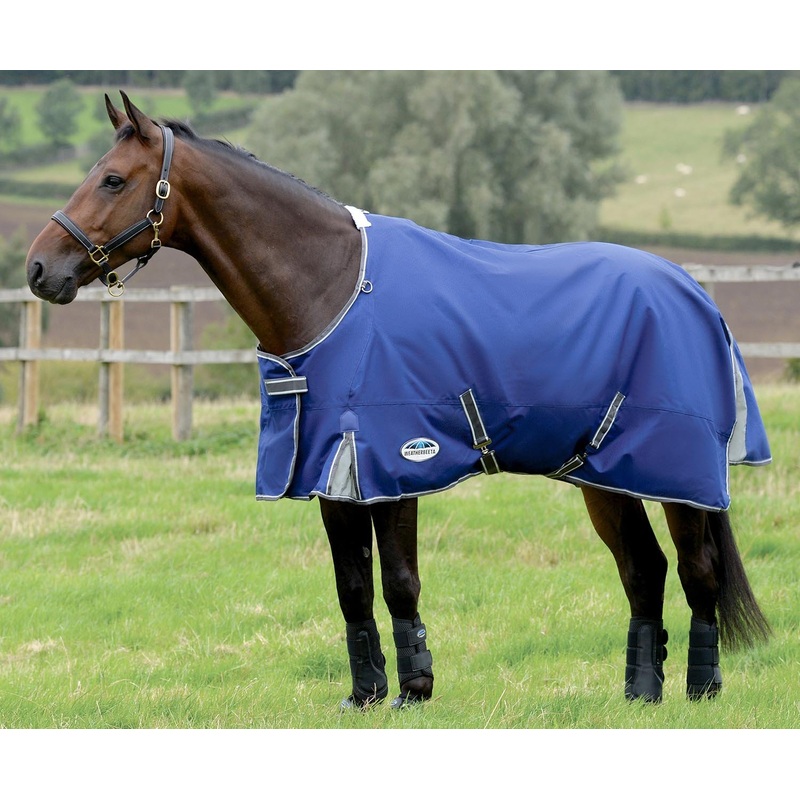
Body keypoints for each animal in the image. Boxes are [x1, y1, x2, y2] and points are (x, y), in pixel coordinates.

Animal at [26, 92, 772, 708]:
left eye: (113, 179)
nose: (39, 269)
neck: (331, 288)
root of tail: (695, 292)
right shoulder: (333, 470)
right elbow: (352, 588)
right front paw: (365, 695)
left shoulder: (394, 461)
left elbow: (399, 581)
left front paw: (416, 690)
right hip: (605, 474)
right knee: (644, 571)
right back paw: (640, 694)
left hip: (678, 473)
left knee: (697, 570)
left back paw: (702, 690)